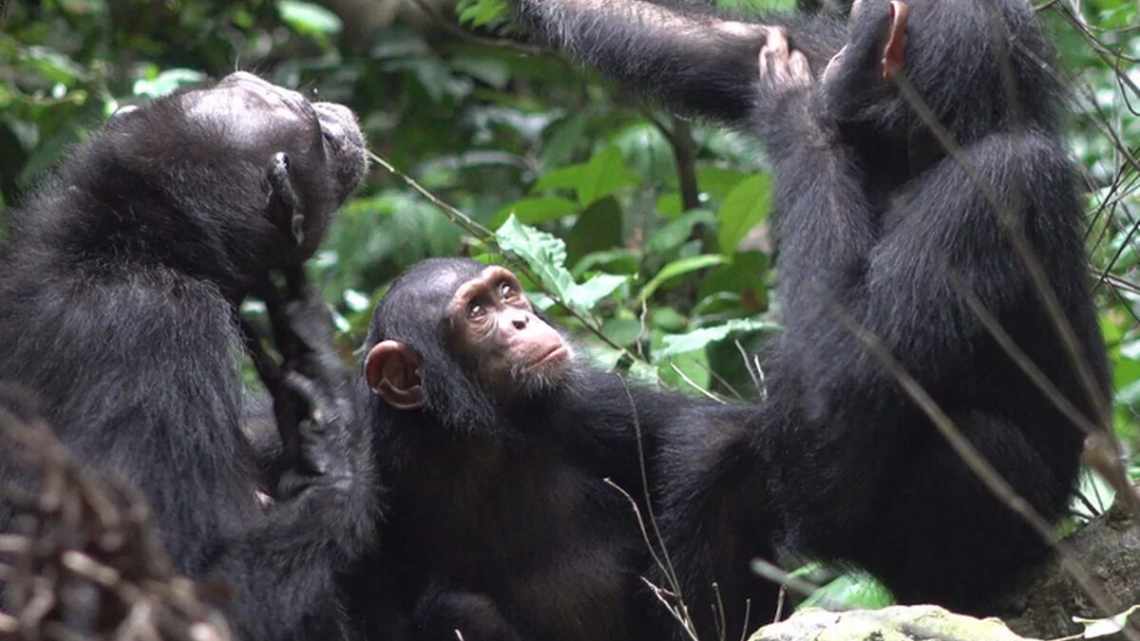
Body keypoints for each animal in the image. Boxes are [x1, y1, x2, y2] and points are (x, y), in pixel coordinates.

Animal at [346, 255, 747, 638]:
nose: (520, 320)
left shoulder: (581, 401)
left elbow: (709, 436)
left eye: (505, 292)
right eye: (476, 311)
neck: (458, 433)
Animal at [515, 0, 1112, 634]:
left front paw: (793, 109)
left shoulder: (998, 182)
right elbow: (698, 42)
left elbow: (843, 372)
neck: (931, 145)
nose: (848, 49)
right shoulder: (832, 73)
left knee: (979, 443)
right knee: (721, 454)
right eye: (849, 25)